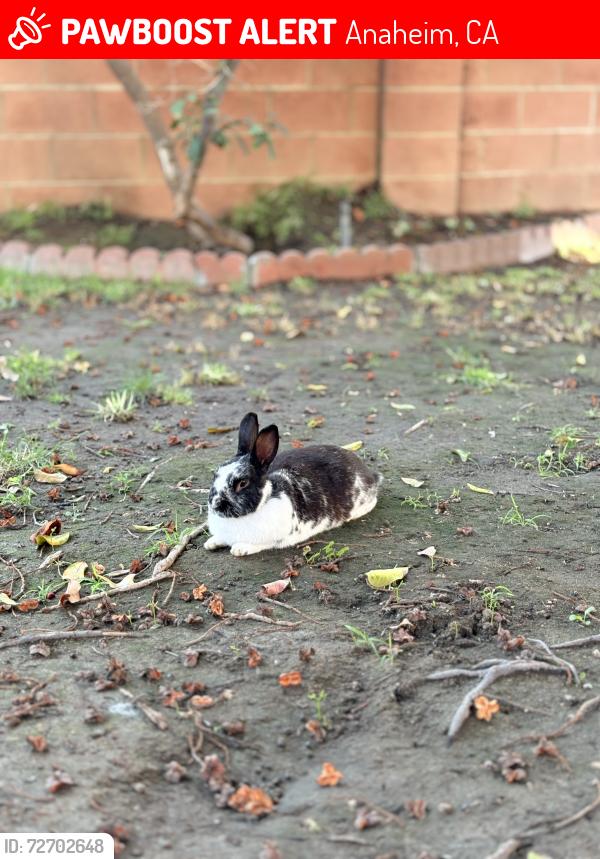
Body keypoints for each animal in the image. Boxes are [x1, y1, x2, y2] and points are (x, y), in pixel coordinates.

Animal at [204, 412, 382, 557]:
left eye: (242, 483)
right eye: (215, 474)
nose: (216, 505)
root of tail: (370, 475)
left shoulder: (275, 538)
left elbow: (259, 544)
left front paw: (239, 549)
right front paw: (211, 542)